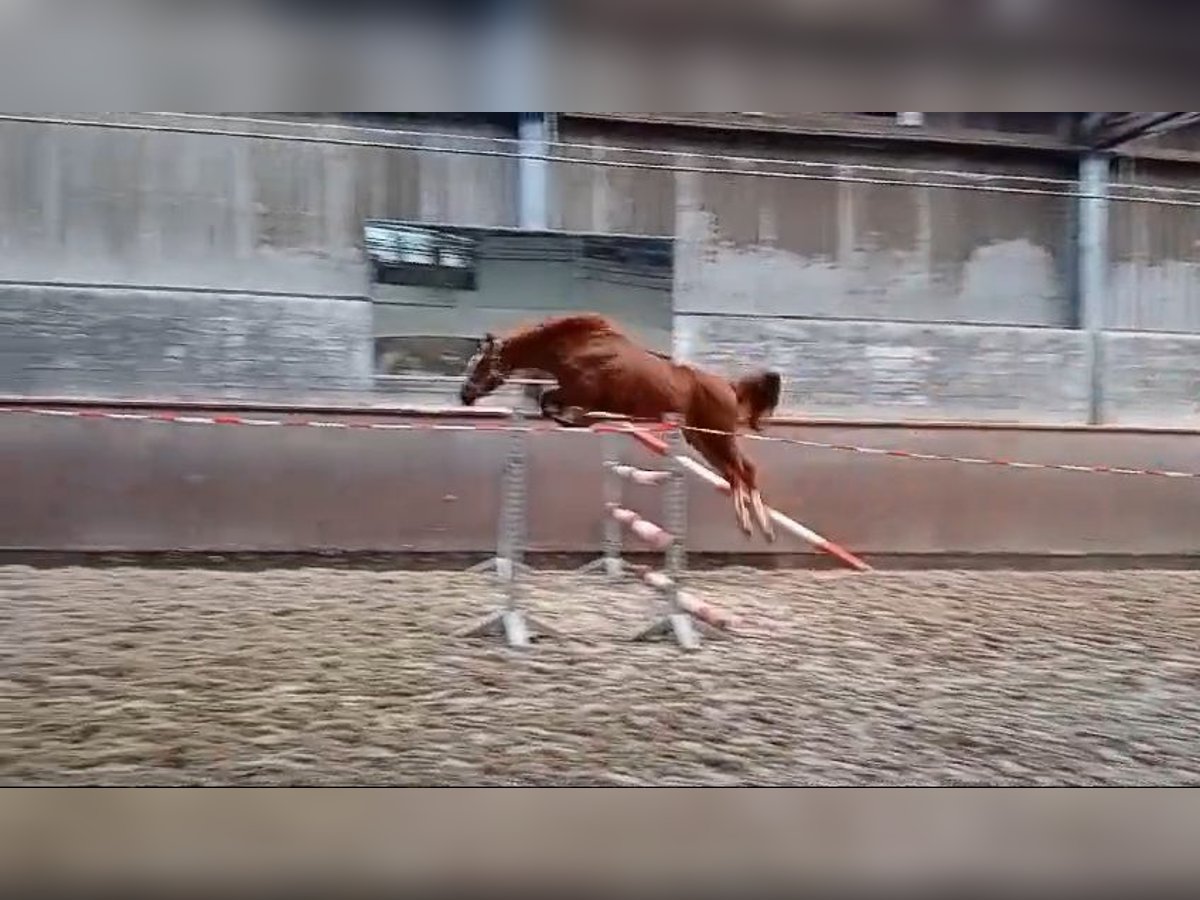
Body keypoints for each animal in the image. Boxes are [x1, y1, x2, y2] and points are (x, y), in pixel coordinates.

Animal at [453, 314, 782, 542]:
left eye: (481, 363)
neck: (577, 348)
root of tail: (729, 386)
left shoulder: (578, 393)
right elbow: (549, 404)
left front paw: (574, 420)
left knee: (743, 471)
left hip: (718, 438)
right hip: (701, 439)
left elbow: (554, 404)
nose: (464, 394)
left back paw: (756, 527)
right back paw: (755, 526)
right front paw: (576, 420)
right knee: (736, 474)